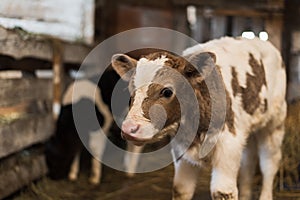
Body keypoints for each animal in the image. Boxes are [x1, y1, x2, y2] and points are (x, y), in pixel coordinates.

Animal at [111, 36, 288, 199]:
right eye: (131, 90)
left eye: (167, 91)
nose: (129, 128)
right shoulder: (181, 152)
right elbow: (181, 189)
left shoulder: (228, 146)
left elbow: (223, 191)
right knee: (248, 164)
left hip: (274, 125)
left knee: (269, 164)